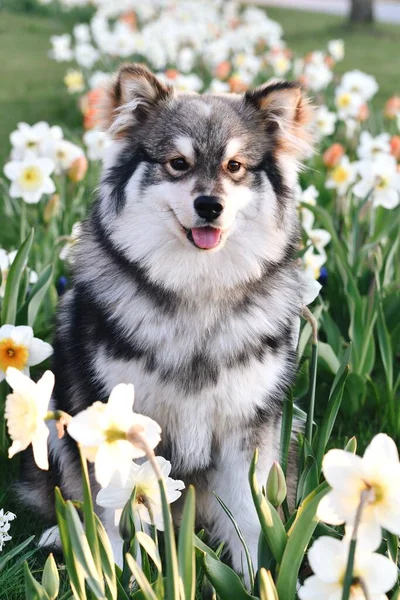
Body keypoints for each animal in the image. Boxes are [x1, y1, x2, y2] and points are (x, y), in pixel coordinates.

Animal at [18, 63, 312, 576]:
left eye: (235, 167)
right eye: (178, 162)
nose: (209, 206)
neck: (196, 288)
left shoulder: (248, 426)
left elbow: (250, 517)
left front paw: (257, 577)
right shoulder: (112, 419)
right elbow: (111, 512)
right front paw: (113, 572)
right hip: (56, 411)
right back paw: (62, 535)